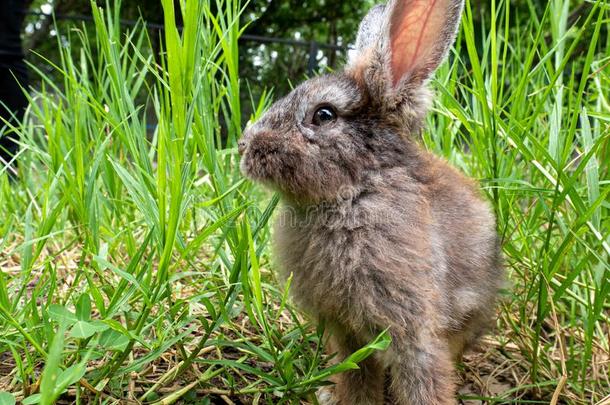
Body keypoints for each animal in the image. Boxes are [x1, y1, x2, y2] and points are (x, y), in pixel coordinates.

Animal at [235, 0, 502, 400]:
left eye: (324, 114)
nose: (245, 146)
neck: (353, 194)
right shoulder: (344, 330)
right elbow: (357, 373)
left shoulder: (412, 327)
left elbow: (422, 376)